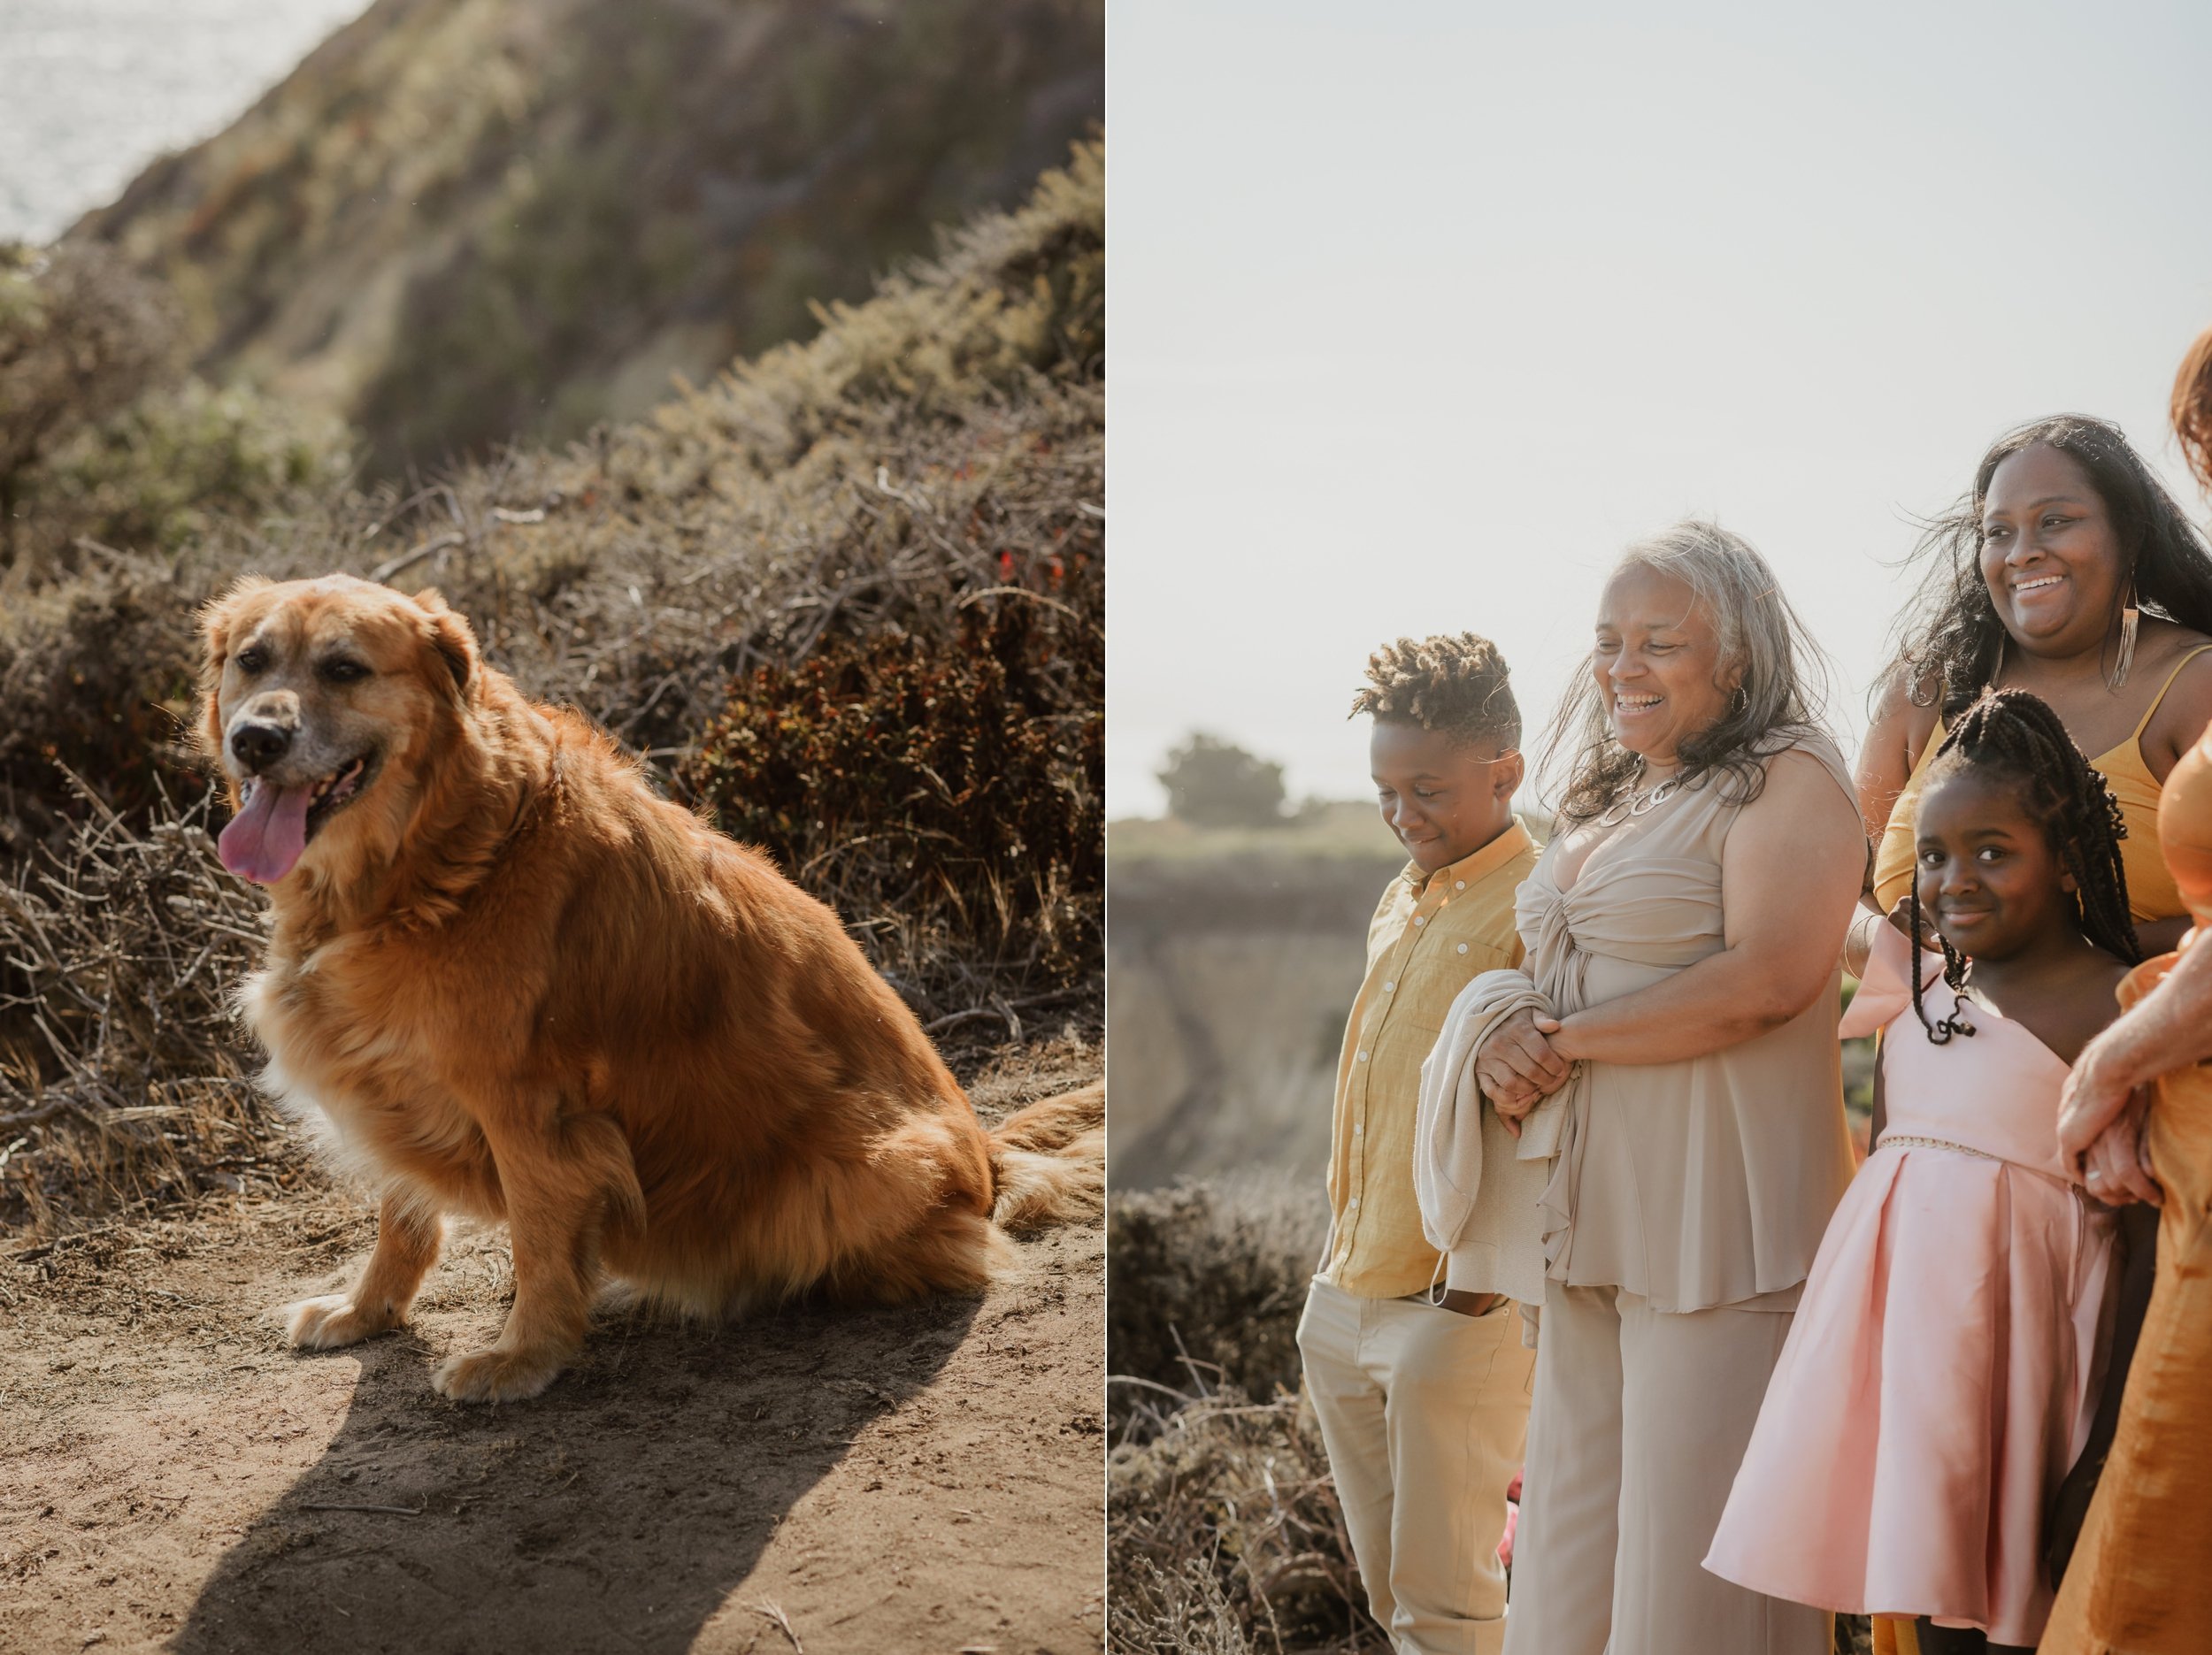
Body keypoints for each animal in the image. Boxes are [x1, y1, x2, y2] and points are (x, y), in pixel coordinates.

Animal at [199, 575, 1106, 1406]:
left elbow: (538, 1240)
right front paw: (367, 1312)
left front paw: (523, 1356)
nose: (254, 741)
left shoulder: (529, 1111)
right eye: (252, 660)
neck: (444, 856)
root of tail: (985, 1150)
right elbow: (403, 1217)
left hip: (859, 1169)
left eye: (344, 668)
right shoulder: (387, 1069)